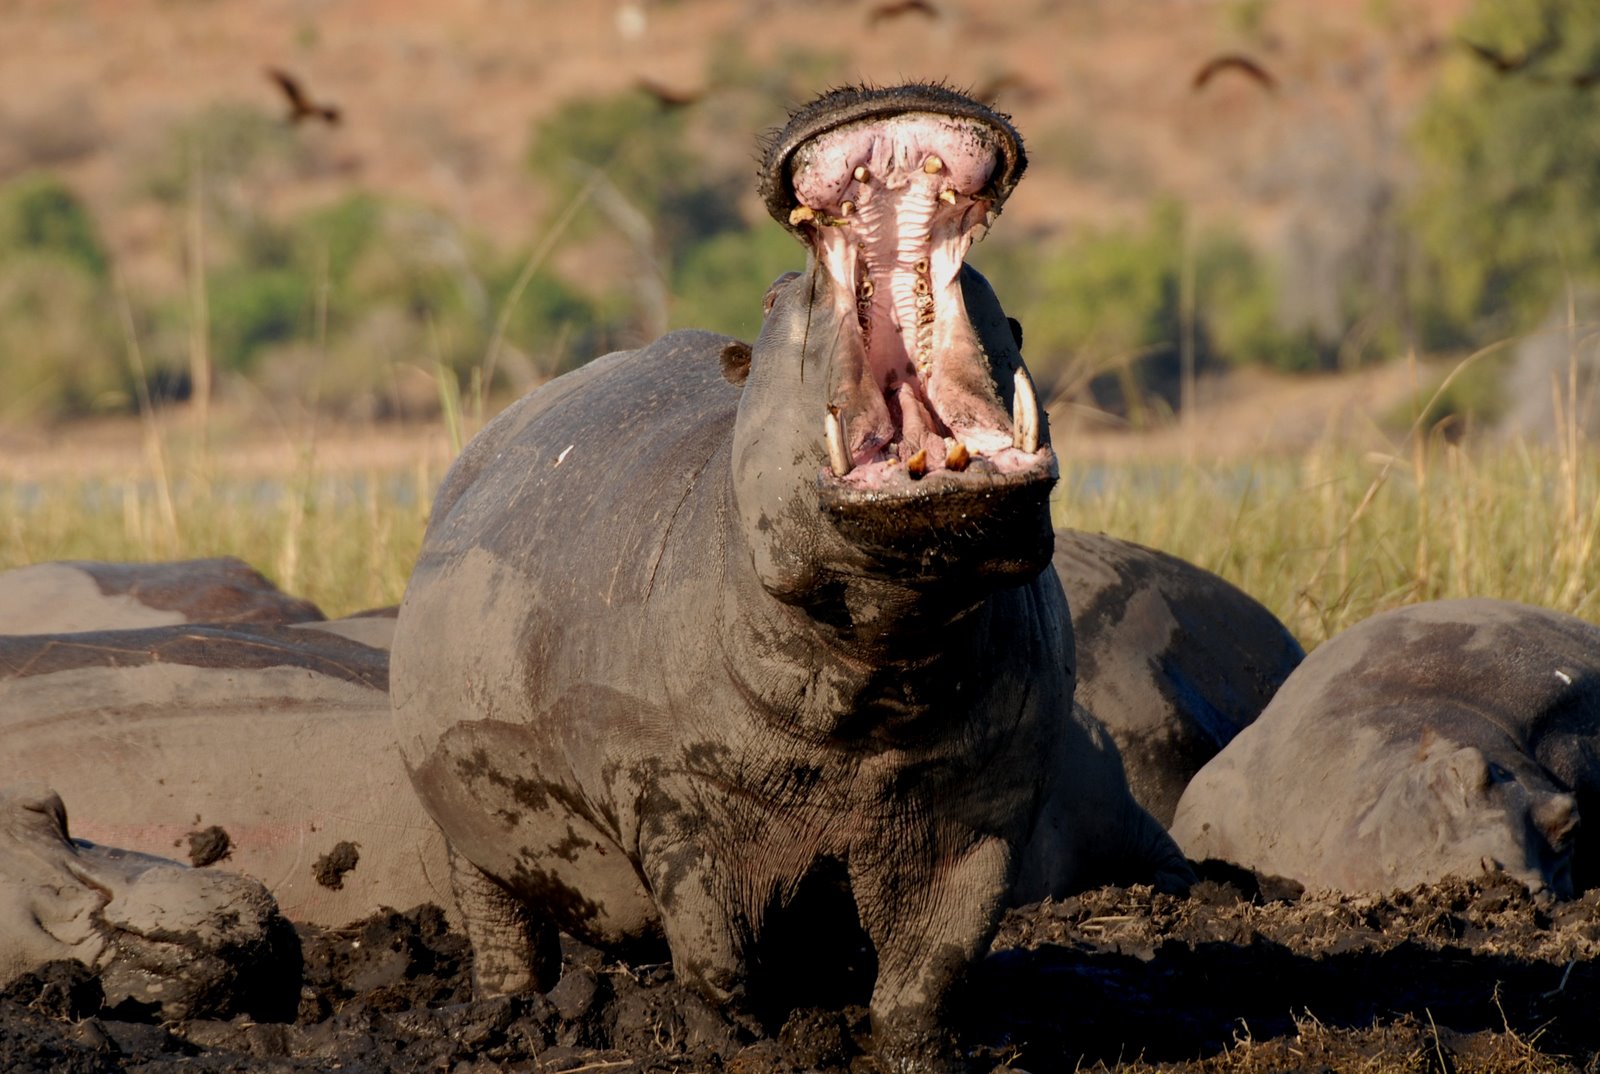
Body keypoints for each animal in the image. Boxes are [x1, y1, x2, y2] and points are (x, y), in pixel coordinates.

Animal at [391, 83, 1189, 1069]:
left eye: (1012, 317)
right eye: (776, 295)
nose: (878, 85)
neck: (881, 661)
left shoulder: (982, 817)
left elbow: (937, 965)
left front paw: (912, 1051)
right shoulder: (680, 811)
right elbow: (716, 957)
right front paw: (738, 1045)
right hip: (466, 833)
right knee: (503, 922)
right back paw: (513, 1017)